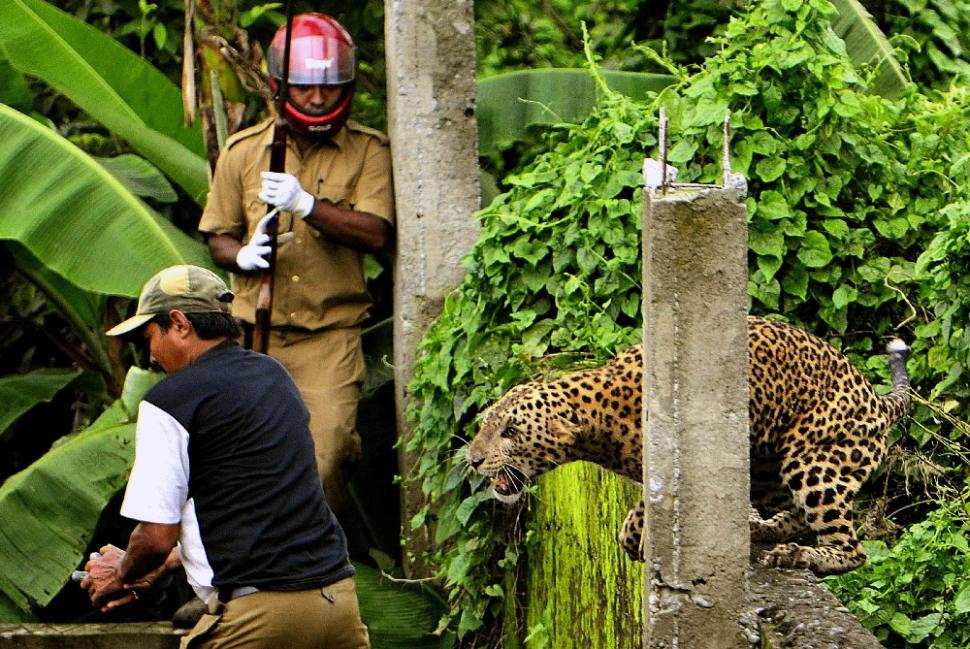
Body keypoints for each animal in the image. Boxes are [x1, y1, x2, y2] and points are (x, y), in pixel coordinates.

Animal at [466, 315, 911, 575]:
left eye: (510, 432)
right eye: (484, 424)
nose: (473, 460)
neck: (599, 421)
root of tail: (878, 398)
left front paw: (643, 536)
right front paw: (633, 535)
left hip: (812, 461)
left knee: (851, 549)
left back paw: (801, 556)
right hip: (768, 467)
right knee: (797, 514)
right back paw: (763, 530)